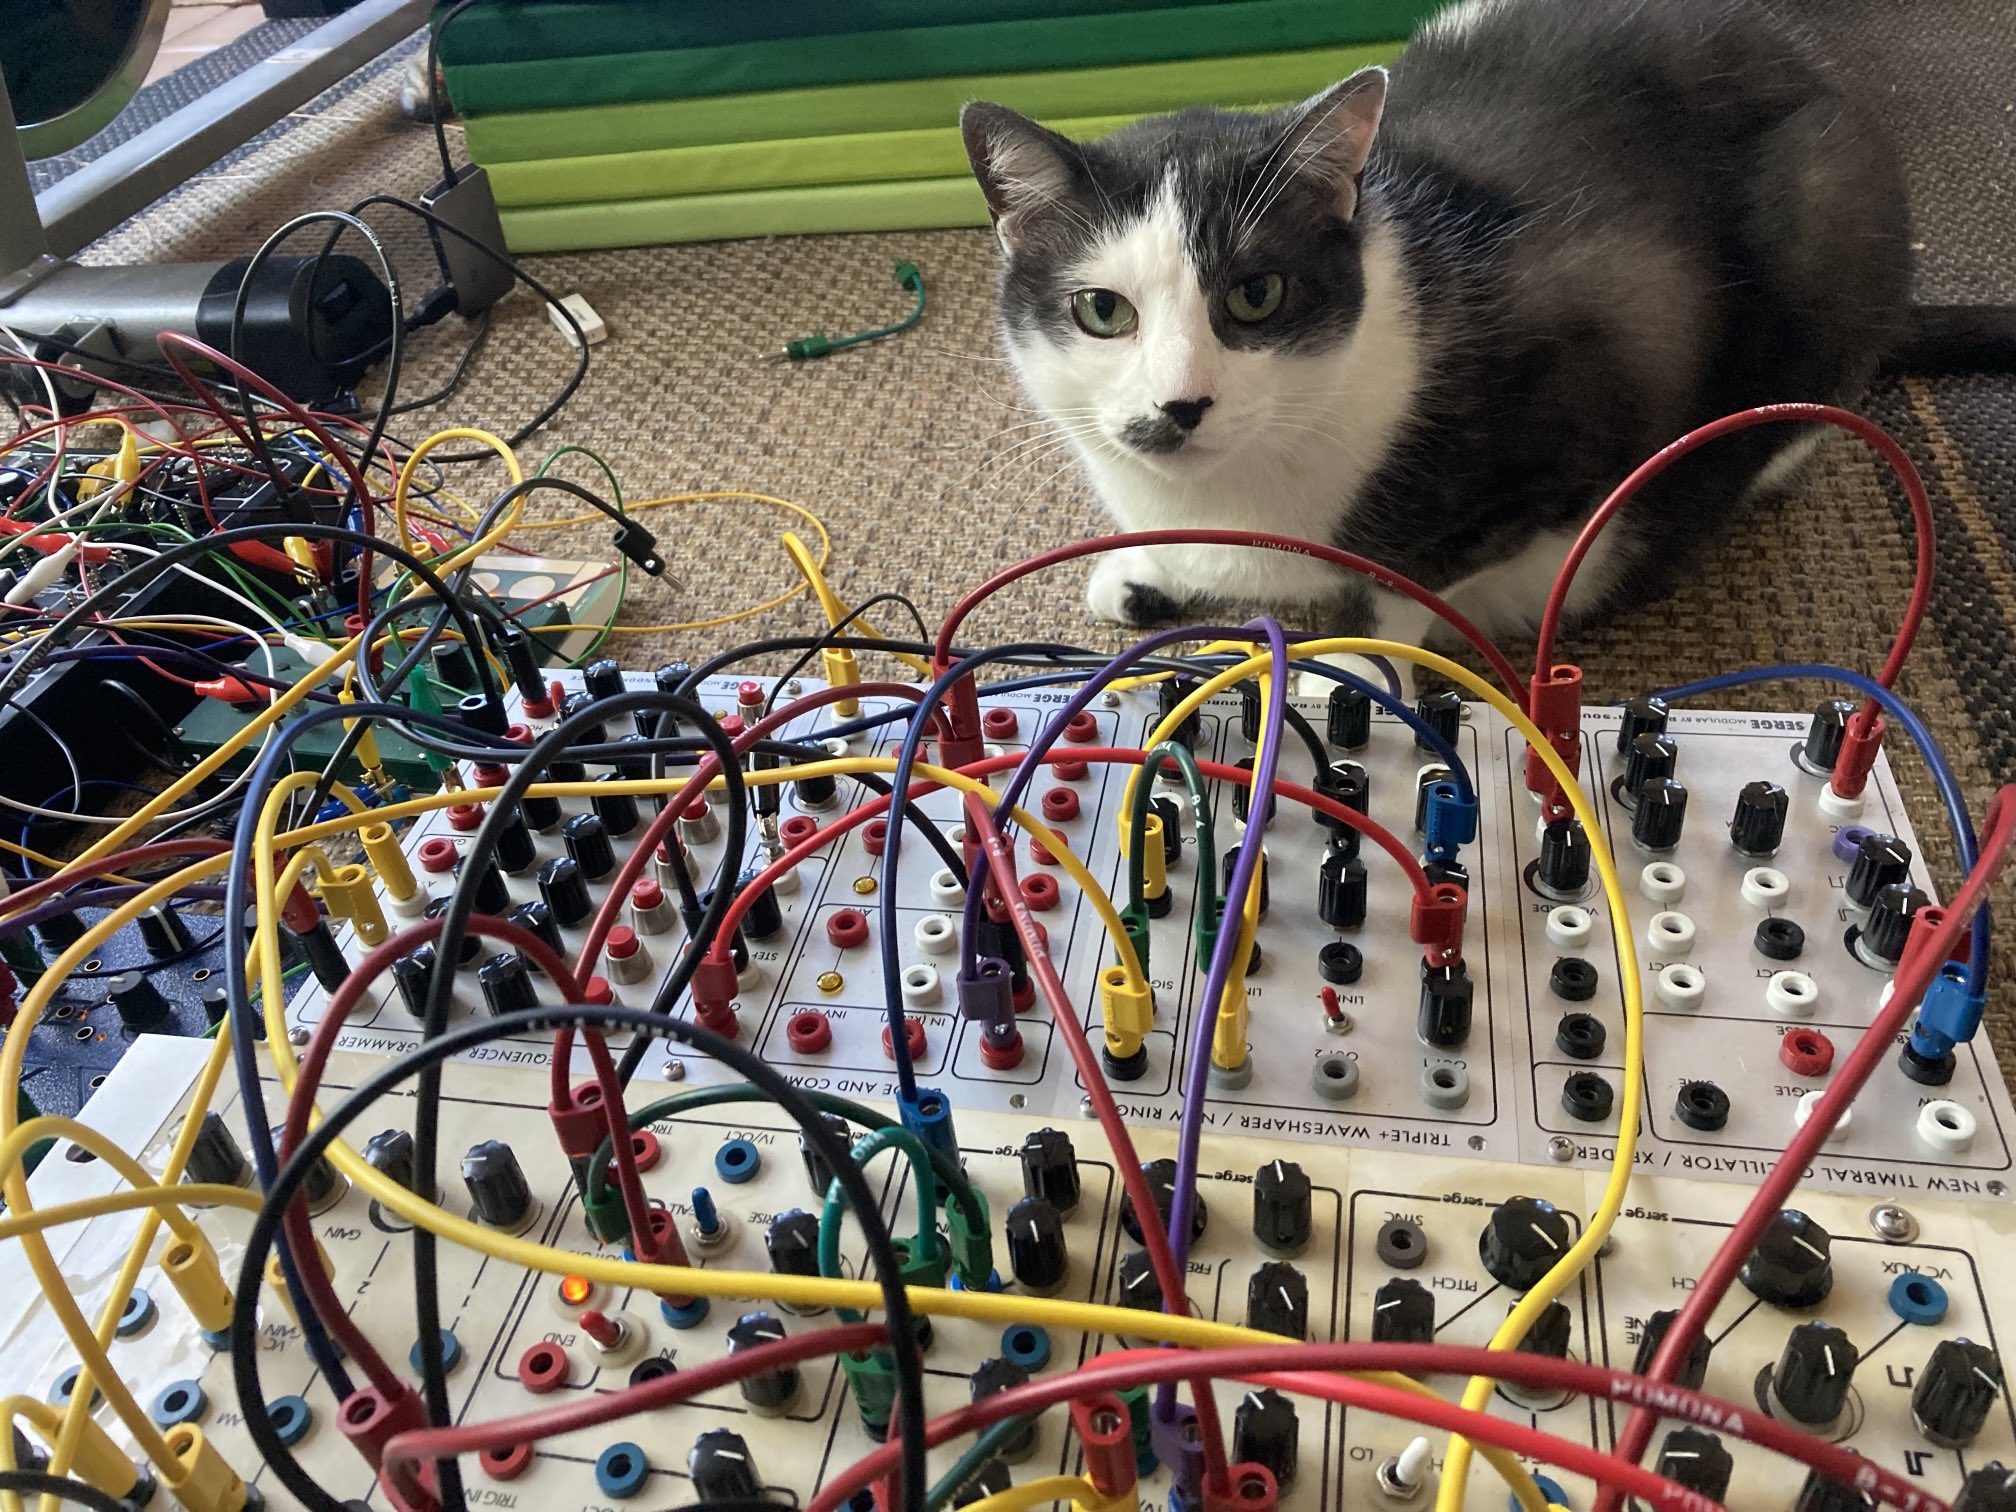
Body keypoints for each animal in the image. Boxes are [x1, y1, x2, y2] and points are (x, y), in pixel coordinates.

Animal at [959, 0, 1999, 645]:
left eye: (1256, 296)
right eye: (1103, 310)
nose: (1180, 404)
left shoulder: (1583, 400)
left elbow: (1407, 590)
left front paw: (1353, 676)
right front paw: (1143, 573)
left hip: (1831, 212)